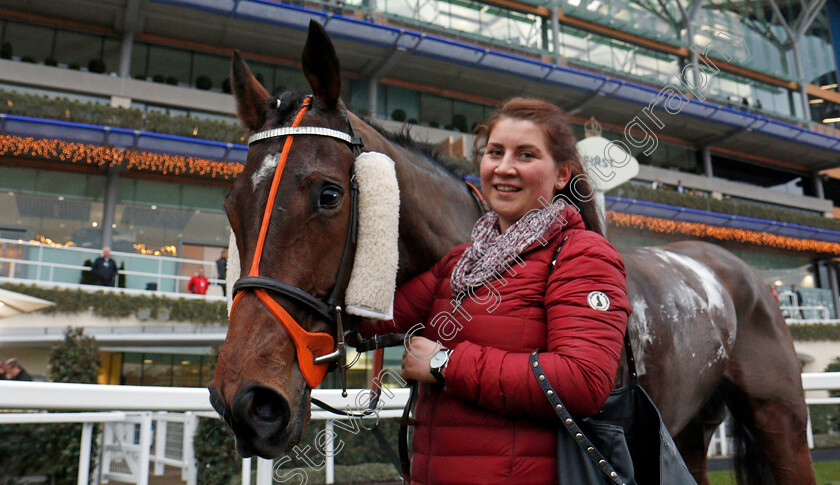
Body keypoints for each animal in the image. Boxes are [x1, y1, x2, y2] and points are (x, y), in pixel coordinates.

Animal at [208, 19, 812, 484]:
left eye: (329, 195)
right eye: (231, 204)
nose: (247, 402)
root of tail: (739, 272)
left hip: (780, 418)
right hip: (690, 426)